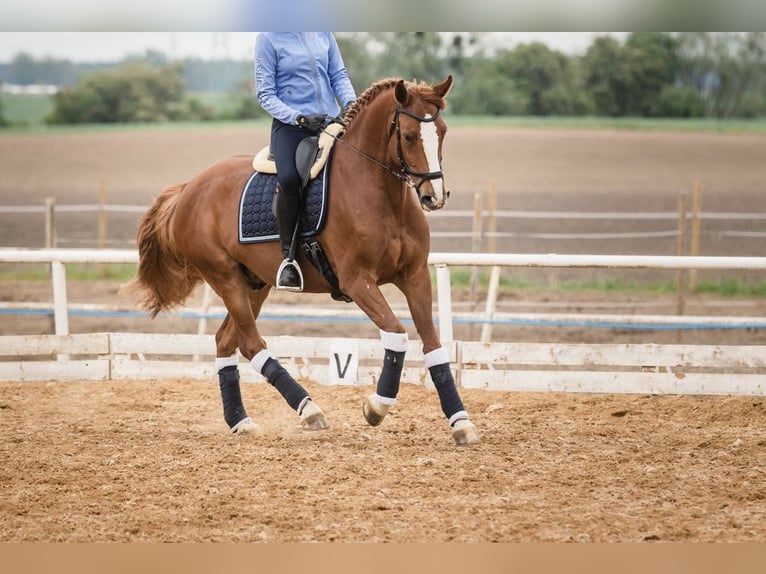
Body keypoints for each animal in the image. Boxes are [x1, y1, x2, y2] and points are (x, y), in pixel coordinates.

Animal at [127, 76, 480, 448]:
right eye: (410, 136)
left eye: (441, 131)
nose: (434, 197)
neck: (382, 194)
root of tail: (189, 188)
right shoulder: (358, 281)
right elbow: (397, 335)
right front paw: (376, 407)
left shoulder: (414, 275)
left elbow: (434, 346)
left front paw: (461, 423)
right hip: (224, 277)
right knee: (251, 343)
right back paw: (309, 409)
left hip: (255, 284)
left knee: (227, 340)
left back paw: (241, 422)